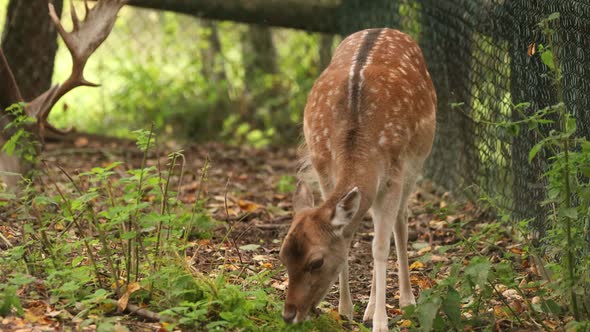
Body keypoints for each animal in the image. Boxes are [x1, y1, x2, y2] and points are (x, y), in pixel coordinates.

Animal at [280, 27, 438, 330]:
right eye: (282, 256)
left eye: (316, 262)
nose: (289, 314)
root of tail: (383, 28)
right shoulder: (323, 167)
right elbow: (349, 235)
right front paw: (345, 309)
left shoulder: (394, 173)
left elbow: (380, 245)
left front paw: (380, 322)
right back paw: (368, 307)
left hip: (416, 161)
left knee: (400, 221)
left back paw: (406, 300)